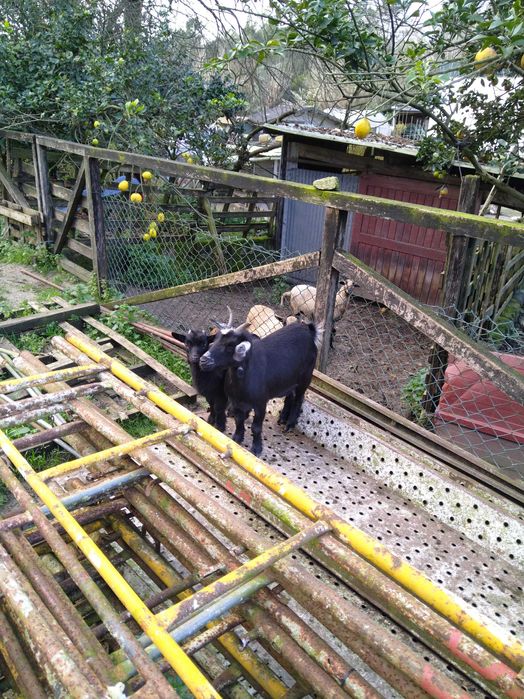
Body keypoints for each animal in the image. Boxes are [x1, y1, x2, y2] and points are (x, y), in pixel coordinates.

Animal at [199, 314, 322, 456]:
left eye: (230, 346)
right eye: (216, 339)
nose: (203, 360)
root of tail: (309, 331)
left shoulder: (260, 403)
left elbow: (256, 427)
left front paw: (256, 449)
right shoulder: (236, 402)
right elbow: (239, 421)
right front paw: (237, 439)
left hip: (306, 377)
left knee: (299, 398)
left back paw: (290, 425)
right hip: (289, 379)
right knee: (290, 395)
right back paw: (282, 419)